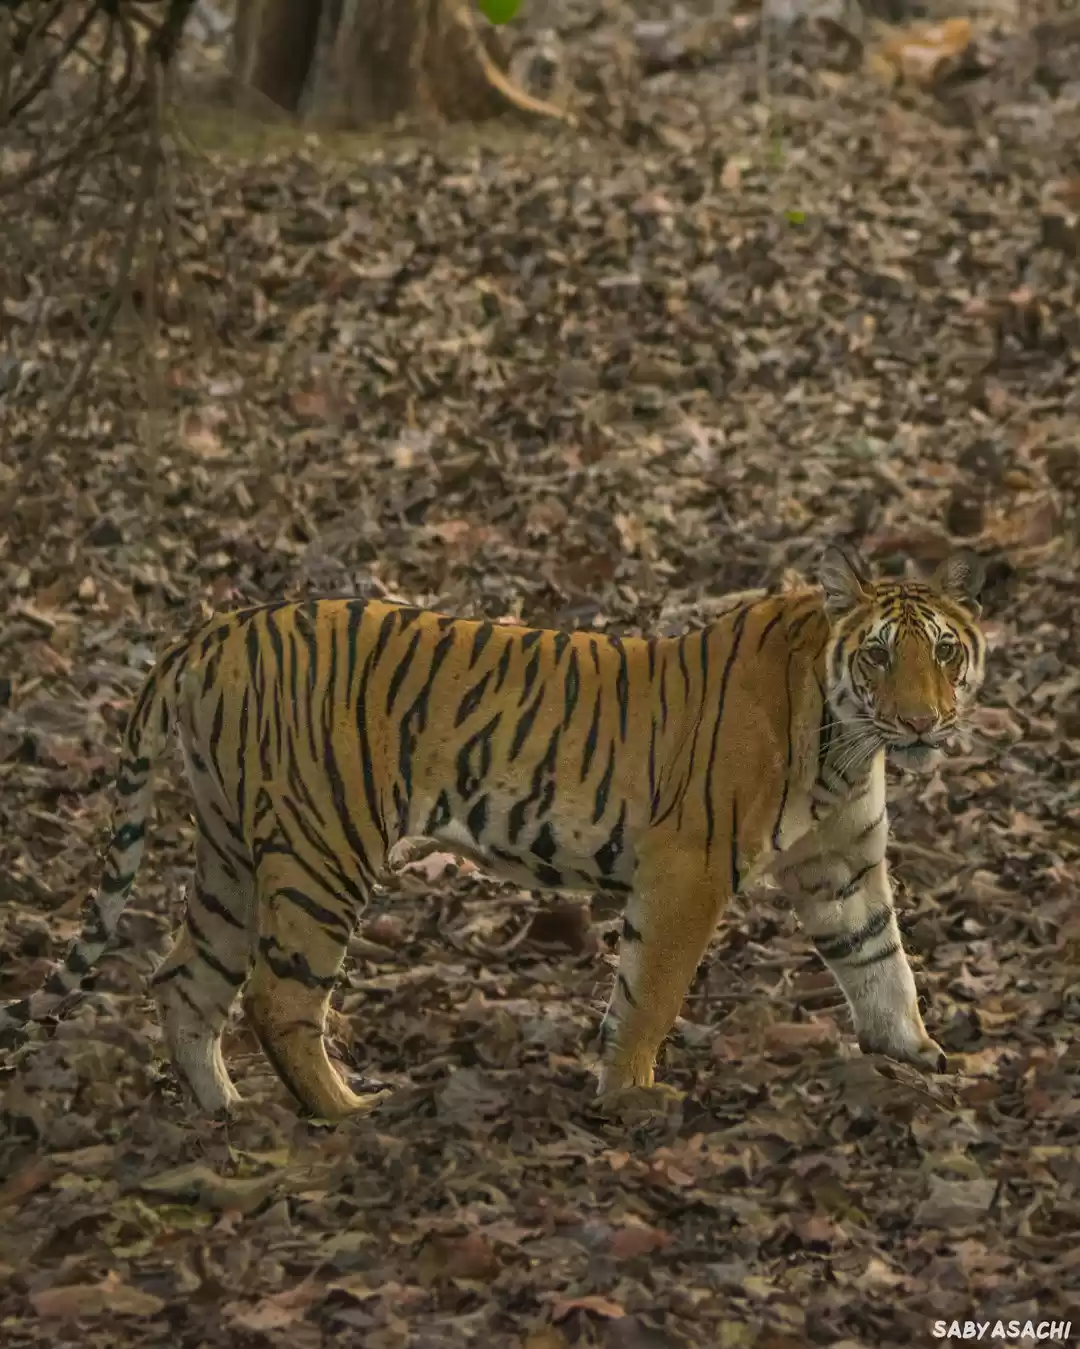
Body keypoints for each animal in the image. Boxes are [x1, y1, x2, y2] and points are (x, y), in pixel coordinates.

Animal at [0, 545, 987, 1120]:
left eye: (943, 651)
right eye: (878, 653)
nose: (922, 722)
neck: (847, 741)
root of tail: (210, 633)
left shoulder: (840, 864)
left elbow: (880, 957)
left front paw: (919, 1052)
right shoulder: (690, 865)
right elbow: (653, 989)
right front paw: (631, 1098)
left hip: (233, 853)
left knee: (183, 977)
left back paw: (223, 1109)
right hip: (322, 848)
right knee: (277, 996)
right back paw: (350, 1113)